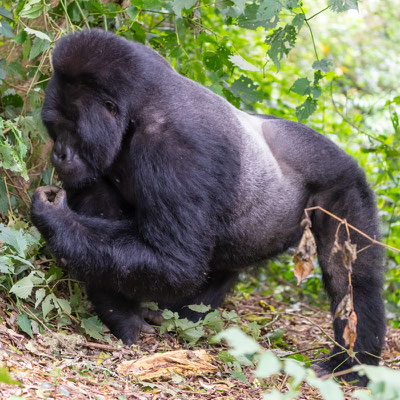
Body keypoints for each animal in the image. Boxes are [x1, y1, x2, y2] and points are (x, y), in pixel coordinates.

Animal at [29, 29, 386, 386]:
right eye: (56, 128)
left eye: (72, 129)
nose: (59, 153)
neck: (138, 108)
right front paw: (122, 315)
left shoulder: (177, 149)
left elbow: (176, 262)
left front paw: (55, 218)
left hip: (345, 184)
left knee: (352, 278)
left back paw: (352, 362)